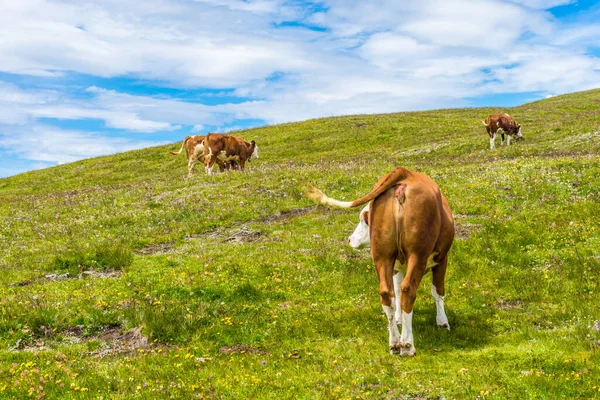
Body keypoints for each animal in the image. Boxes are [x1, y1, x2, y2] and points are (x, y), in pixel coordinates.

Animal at [304, 167, 454, 354]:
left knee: (387, 293)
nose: (349, 239)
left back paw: (394, 343)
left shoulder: (397, 266)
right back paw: (407, 344)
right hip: (417, 254)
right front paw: (443, 322)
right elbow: (438, 290)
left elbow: (397, 292)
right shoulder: (441, 259)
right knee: (408, 290)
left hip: (382, 255)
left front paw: (398, 319)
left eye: (363, 220)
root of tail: (405, 173)